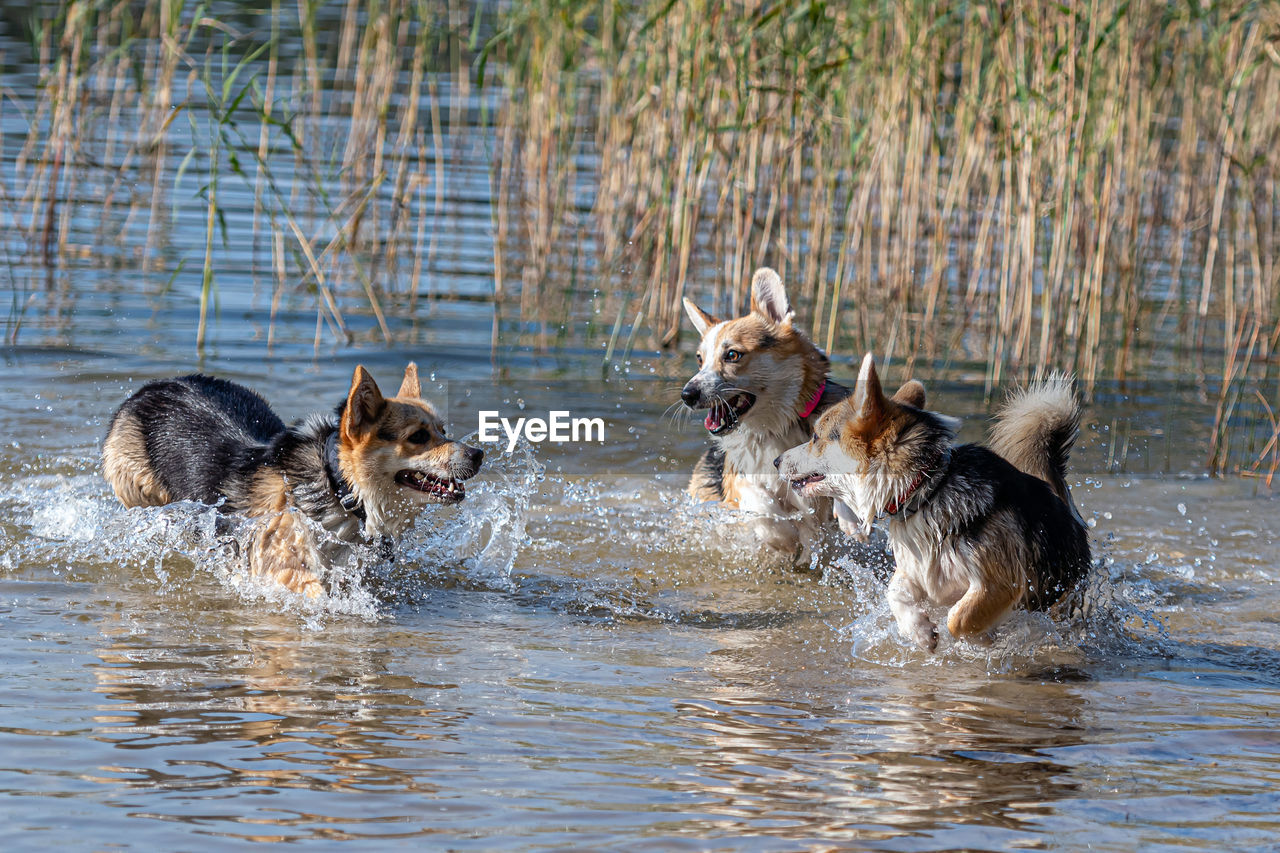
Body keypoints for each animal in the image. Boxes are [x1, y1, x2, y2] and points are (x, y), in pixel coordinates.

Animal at [103, 361, 483, 594]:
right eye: (418, 436)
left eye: (443, 430)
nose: (479, 454)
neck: (341, 489)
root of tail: (152, 387)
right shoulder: (282, 562)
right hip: (141, 495)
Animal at [675, 267, 855, 558]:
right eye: (700, 359)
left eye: (732, 355)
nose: (687, 395)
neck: (775, 427)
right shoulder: (741, 483)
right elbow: (760, 505)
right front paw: (783, 534)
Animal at [773, 350, 1085, 650]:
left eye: (816, 437)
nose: (776, 461)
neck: (926, 490)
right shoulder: (914, 570)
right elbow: (895, 592)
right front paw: (919, 632)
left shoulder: (1000, 583)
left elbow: (957, 618)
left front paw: (982, 640)